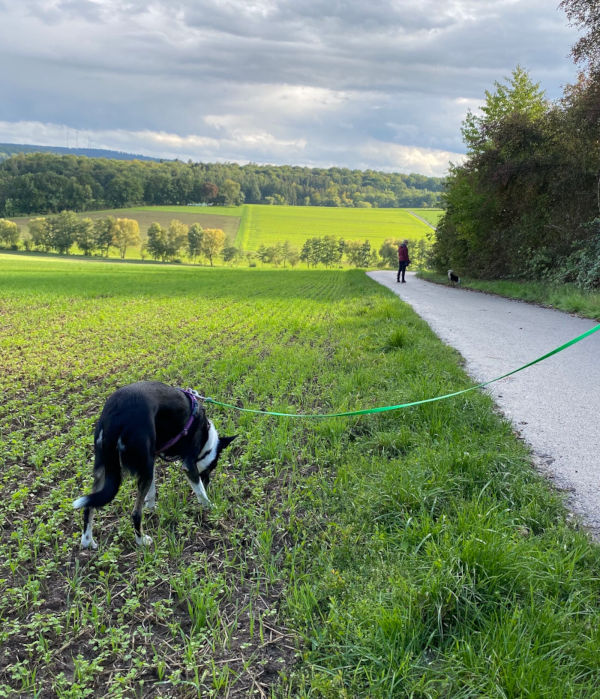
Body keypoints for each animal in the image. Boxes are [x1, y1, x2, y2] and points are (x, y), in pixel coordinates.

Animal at [73, 380, 237, 548]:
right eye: (211, 468)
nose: (208, 482)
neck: (206, 438)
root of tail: (115, 417)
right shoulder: (189, 465)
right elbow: (200, 491)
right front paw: (210, 506)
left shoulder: (152, 459)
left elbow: (151, 493)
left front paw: (151, 508)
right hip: (141, 468)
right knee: (135, 513)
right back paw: (141, 540)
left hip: (106, 469)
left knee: (89, 507)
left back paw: (87, 540)